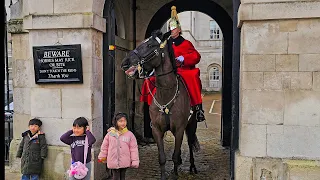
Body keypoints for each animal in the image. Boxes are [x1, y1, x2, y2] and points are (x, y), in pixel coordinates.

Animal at [121, 30, 199, 179]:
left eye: (150, 45)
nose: (125, 63)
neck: (166, 95)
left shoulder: (179, 129)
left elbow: (174, 155)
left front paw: (175, 174)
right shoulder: (157, 130)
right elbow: (162, 157)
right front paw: (164, 175)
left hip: (191, 124)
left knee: (190, 142)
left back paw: (192, 166)